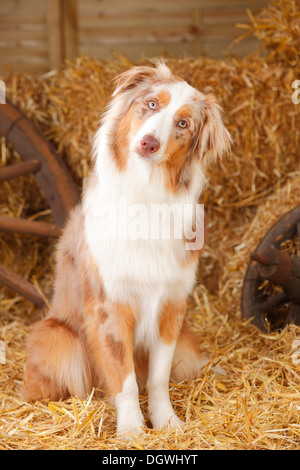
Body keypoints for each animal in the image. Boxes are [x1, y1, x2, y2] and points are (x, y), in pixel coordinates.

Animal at [24, 61, 232, 436]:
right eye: (151, 104)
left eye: (183, 124)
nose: (149, 143)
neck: (145, 193)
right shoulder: (111, 307)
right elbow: (124, 378)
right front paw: (133, 430)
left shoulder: (171, 306)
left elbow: (158, 378)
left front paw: (167, 423)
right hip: (58, 338)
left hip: (186, 339)